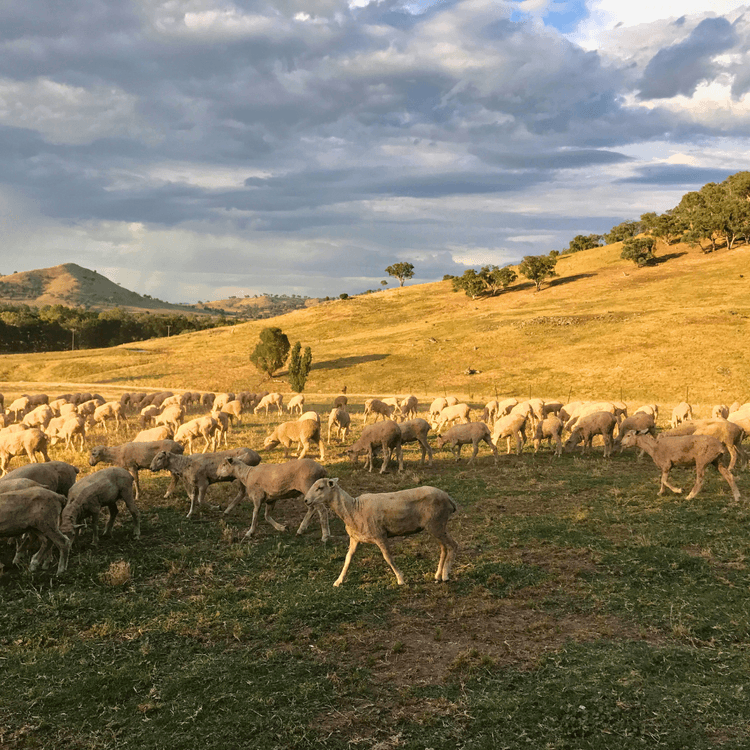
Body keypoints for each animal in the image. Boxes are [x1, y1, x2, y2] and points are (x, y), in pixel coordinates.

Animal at [303, 478, 458, 586]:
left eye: (320, 488)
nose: (305, 500)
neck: (353, 509)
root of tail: (449, 498)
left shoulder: (380, 535)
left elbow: (387, 557)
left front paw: (400, 579)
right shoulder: (354, 538)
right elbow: (348, 559)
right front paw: (338, 580)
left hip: (437, 524)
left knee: (453, 545)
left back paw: (445, 575)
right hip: (436, 527)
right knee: (444, 548)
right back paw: (438, 575)